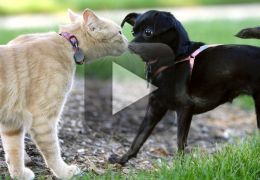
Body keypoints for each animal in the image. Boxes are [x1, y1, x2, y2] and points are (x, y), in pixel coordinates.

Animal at [108, 10, 260, 165]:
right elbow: (139, 138)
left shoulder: (184, 109)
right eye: (133, 32)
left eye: (148, 32)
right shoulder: (154, 110)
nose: (129, 45)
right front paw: (122, 159)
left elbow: (180, 141)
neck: (173, 60)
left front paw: (179, 166)